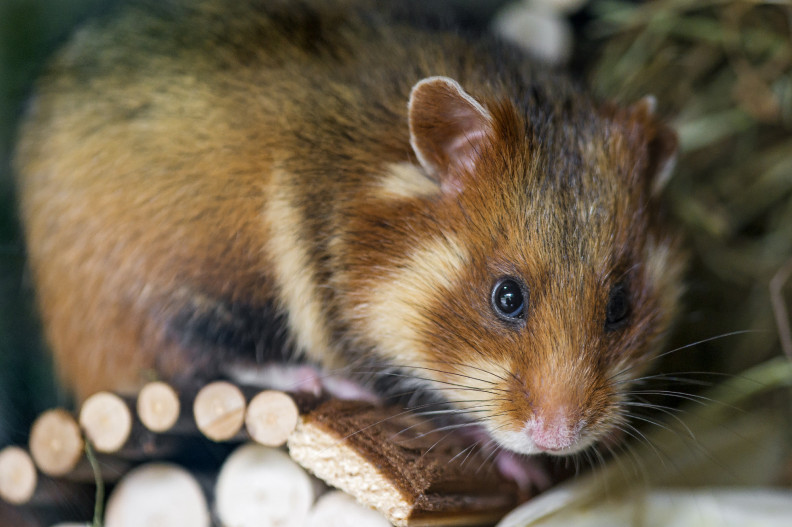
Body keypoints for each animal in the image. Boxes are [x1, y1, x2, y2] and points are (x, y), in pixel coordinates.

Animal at [12, 0, 684, 462]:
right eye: (506, 297)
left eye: (621, 306)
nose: (558, 440)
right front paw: (516, 466)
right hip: (172, 293)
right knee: (193, 363)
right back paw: (311, 377)